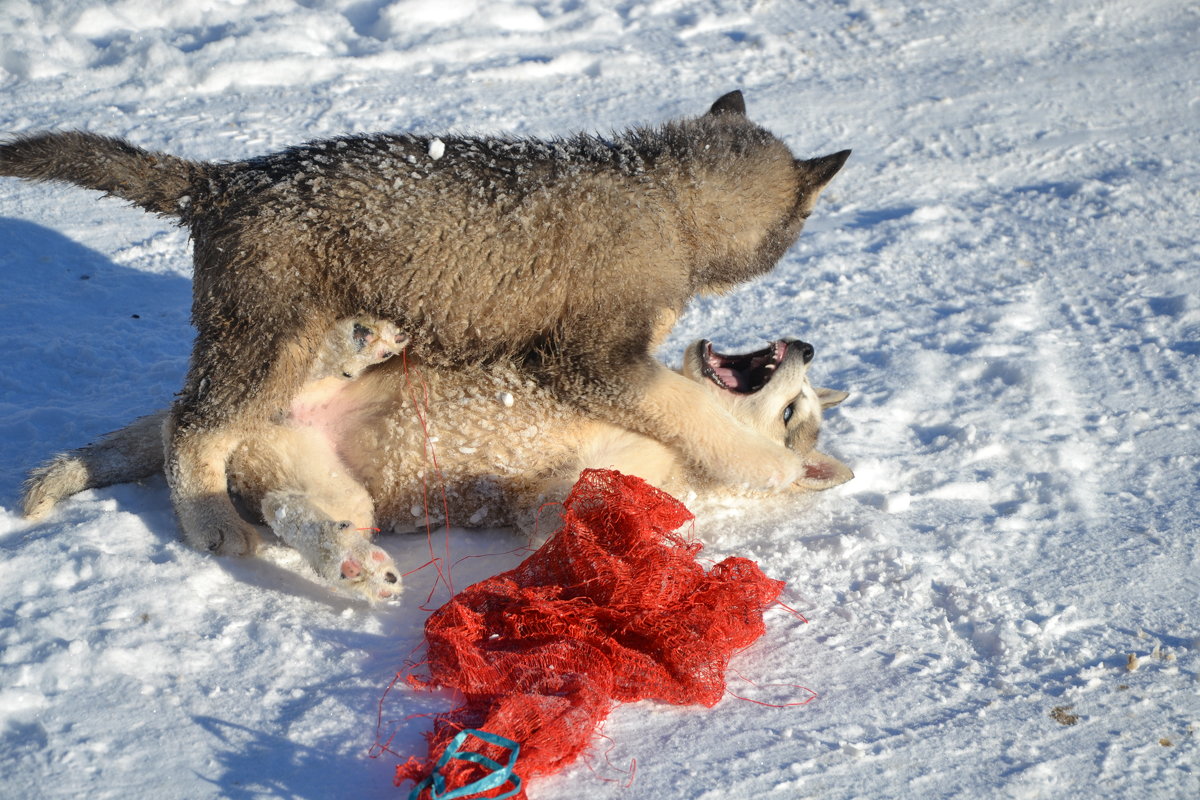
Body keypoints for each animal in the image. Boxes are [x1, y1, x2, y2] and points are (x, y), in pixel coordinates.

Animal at [0, 90, 849, 561]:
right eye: (804, 223)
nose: (808, 344)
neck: (668, 199)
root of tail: (223, 181)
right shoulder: (597, 359)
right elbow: (694, 411)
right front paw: (765, 461)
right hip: (266, 340)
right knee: (192, 428)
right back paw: (209, 522)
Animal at [23, 316, 849, 599]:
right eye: (796, 410)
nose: (807, 346)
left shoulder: (566, 491)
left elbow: (562, 507)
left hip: (331, 486)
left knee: (292, 508)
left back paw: (350, 563)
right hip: (290, 397)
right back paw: (360, 343)